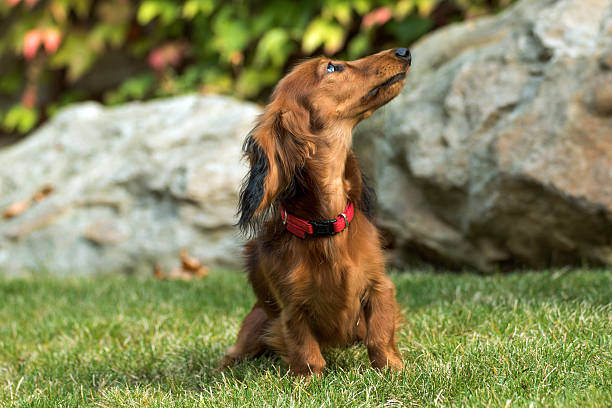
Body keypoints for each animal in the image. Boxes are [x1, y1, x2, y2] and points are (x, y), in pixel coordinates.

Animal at [220, 47, 412, 376]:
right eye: (332, 68)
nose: (403, 51)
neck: (326, 225)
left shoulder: (380, 285)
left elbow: (380, 335)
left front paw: (393, 370)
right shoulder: (291, 307)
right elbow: (306, 351)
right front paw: (308, 380)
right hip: (257, 322)